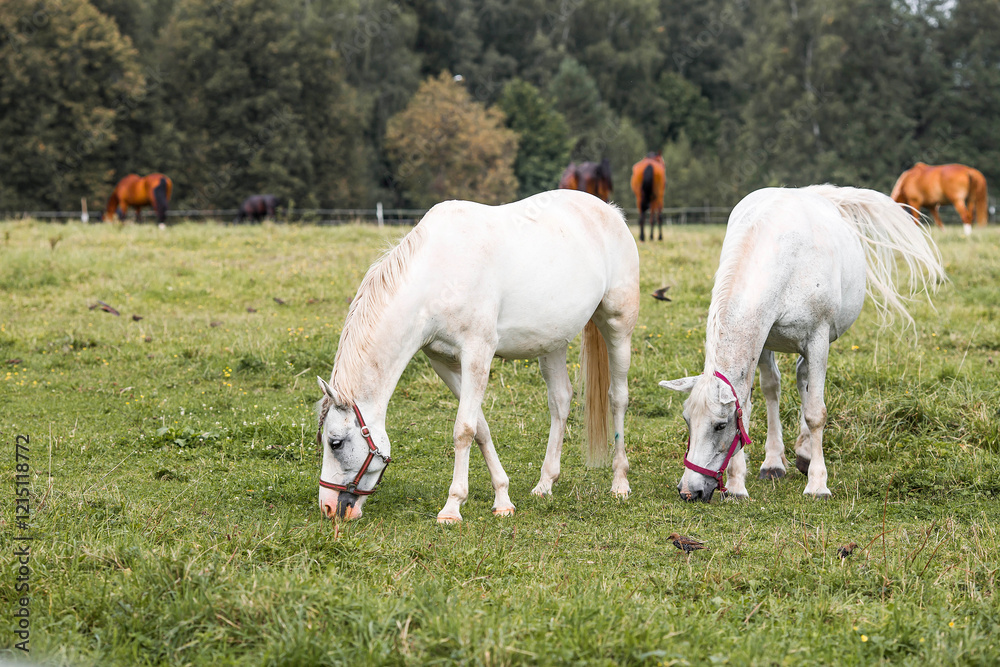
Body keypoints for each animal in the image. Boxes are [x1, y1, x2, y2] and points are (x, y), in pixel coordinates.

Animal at [315, 189, 640, 523]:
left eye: (335, 442)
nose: (328, 507)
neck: (437, 278)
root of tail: (610, 211)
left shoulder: (477, 353)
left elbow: (464, 430)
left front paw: (452, 506)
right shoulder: (444, 362)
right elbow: (480, 427)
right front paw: (503, 498)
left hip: (618, 325)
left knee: (617, 398)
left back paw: (619, 482)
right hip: (552, 343)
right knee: (560, 400)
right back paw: (545, 483)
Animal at [659, 185, 944, 502]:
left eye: (720, 425)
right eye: (687, 420)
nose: (689, 490)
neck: (781, 255)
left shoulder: (818, 339)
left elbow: (815, 412)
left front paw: (818, 484)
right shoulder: (761, 337)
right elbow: (753, 399)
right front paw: (736, 484)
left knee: (805, 381)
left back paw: (806, 454)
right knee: (785, 383)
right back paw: (776, 461)